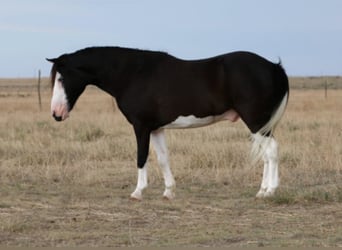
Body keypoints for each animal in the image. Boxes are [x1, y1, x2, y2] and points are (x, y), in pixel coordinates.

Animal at [47, 46, 288, 199]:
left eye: (60, 78)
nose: (56, 114)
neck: (133, 74)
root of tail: (273, 67)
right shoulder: (156, 128)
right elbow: (163, 159)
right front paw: (169, 192)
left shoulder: (141, 126)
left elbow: (141, 157)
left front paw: (137, 192)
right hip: (261, 125)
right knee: (266, 155)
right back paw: (262, 191)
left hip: (256, 122)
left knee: (272, 151)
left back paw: (270, 191)